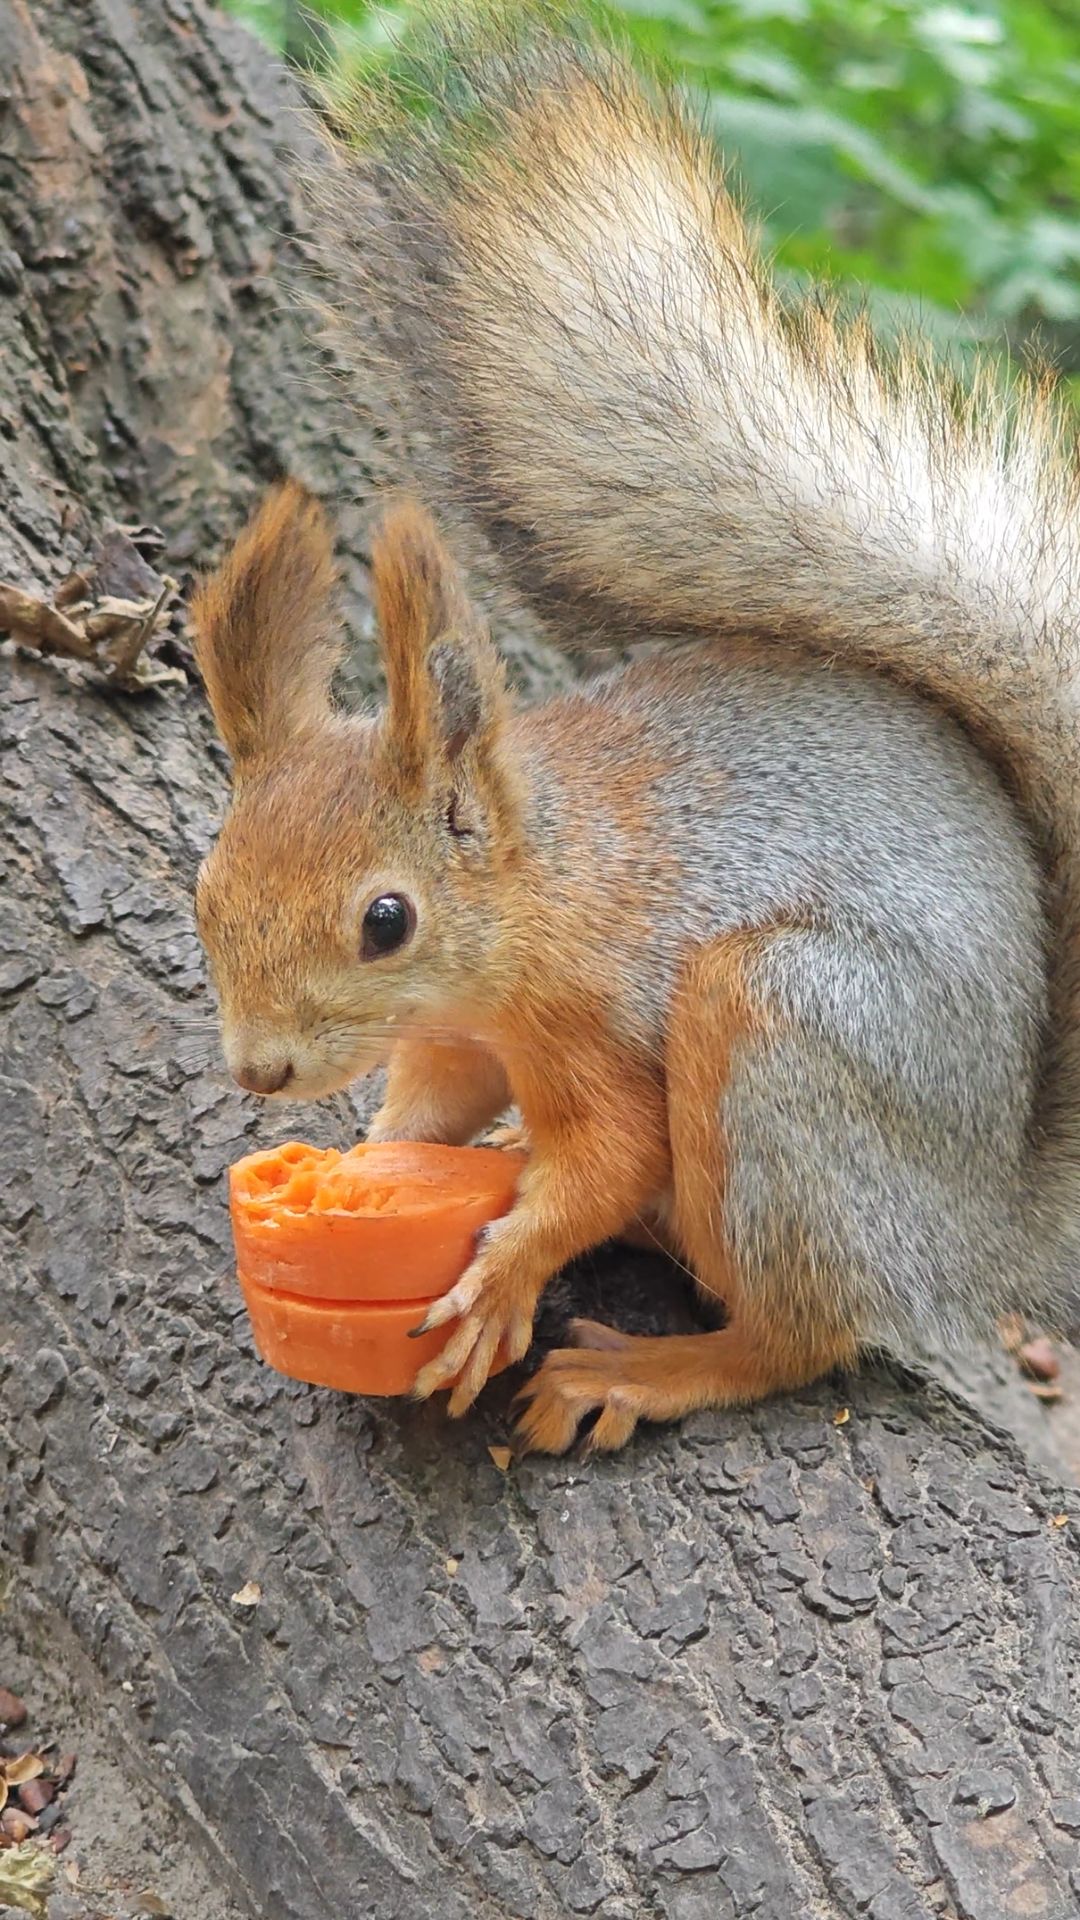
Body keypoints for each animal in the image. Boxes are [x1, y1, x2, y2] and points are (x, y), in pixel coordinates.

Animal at [191, 9, 1080, 1454]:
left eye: (386, 921)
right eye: (203, 893)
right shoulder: (459, 1041)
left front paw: (506, 1267)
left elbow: (610, 1162)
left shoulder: (596, 1017)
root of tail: (975, 1231)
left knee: (804, 1330)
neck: (533, 888)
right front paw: (389, 1160)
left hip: (785, 1038)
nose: (261, 1071)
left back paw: (652, 1370)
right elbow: (432, 1108)